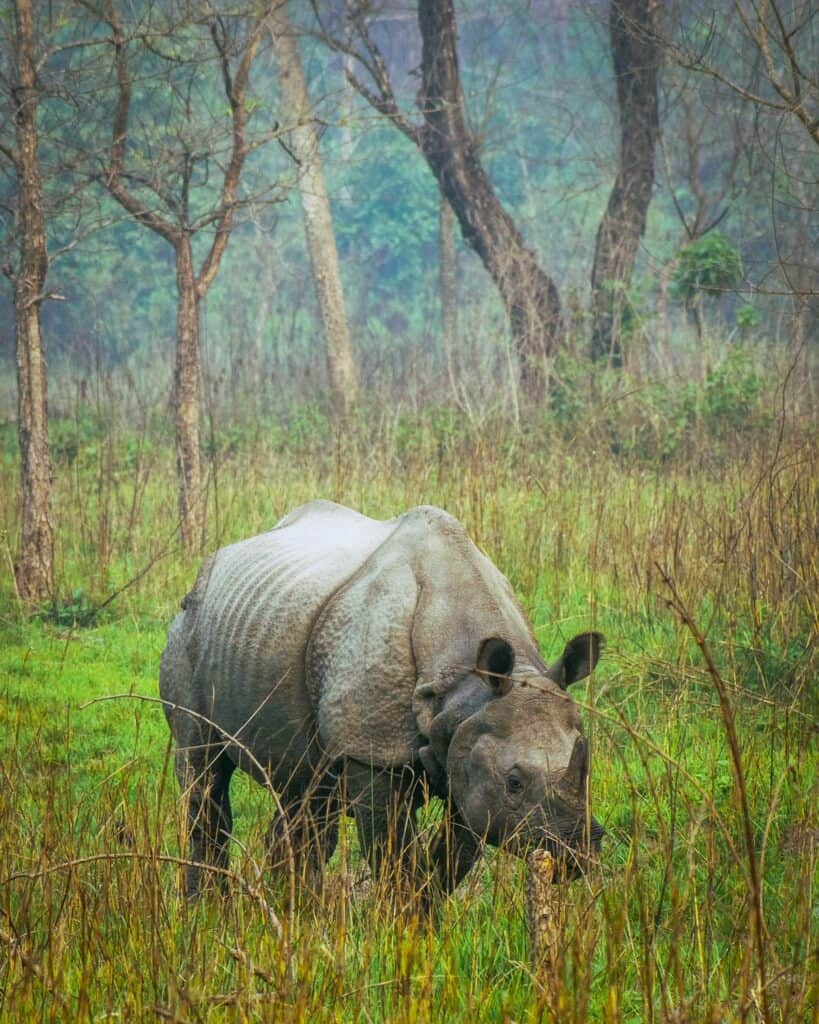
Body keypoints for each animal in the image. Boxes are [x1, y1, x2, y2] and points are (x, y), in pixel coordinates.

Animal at [159, 500, 604, 901]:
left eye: (586, 768)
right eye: (514, 783)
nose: (576, 853)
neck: (465, 686)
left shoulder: (466, 746)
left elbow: (452, 858)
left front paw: (426, 921)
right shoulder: (373, 750)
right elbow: (394, 857)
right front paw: (402, 924)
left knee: (306, 791)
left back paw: (295, 911)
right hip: (188, 628)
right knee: (203, 773)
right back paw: (208, 908)